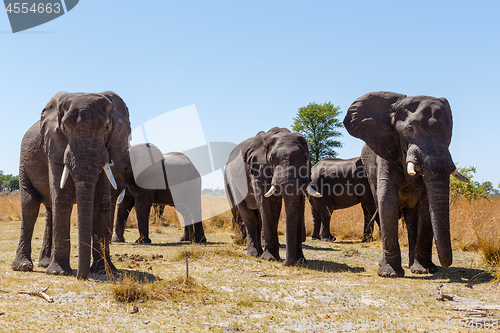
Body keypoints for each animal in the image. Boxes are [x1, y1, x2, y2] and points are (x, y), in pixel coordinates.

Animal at [11, 90, 131, 278]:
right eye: (65, 129)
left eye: (106, 128)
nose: (81, 277)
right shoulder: (55, 147)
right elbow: (62, 199)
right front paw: (58, 272)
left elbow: (102, 203)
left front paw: (104, 270)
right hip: (24, 163)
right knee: (30, 206)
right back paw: (23, 266)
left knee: (49, 210)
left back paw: (45, 263)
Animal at [224, 126, 320, 264]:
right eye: (272, 159)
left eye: (305, 158)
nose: (286, 263)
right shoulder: (259, 170)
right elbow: (268, 204)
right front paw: (270, 258)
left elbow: (299, 204)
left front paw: (300, 261)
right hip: (230, 180)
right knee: (248, 215)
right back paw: (254, 254)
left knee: (257, 216)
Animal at [344, 90, 468, 274]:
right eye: (410, 129)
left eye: (449, 133)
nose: (446, 264)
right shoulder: (387, 149)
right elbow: (387, 201)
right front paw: (389, 274)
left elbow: (426, 206)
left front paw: (425, 270)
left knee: (411, 221)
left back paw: (412, 266)